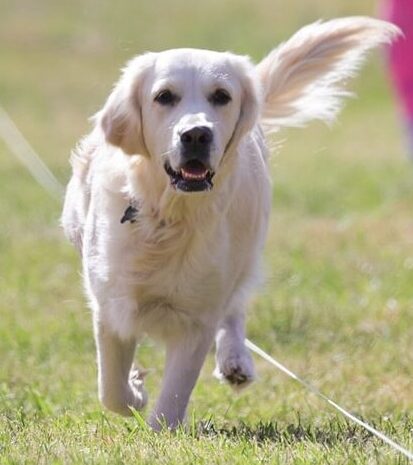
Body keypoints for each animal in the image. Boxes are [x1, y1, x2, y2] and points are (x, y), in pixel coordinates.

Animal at [62, 18, 400, 430]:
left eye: (221, 96)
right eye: (164, 96)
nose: (196, 134)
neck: (171, 217)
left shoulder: (198, 317)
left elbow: (173, 396)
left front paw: (159, 427)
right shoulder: (112, 302)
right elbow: (111, 388)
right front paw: (136, 389)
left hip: (247, 249)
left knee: (235, 308)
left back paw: (236, 360)